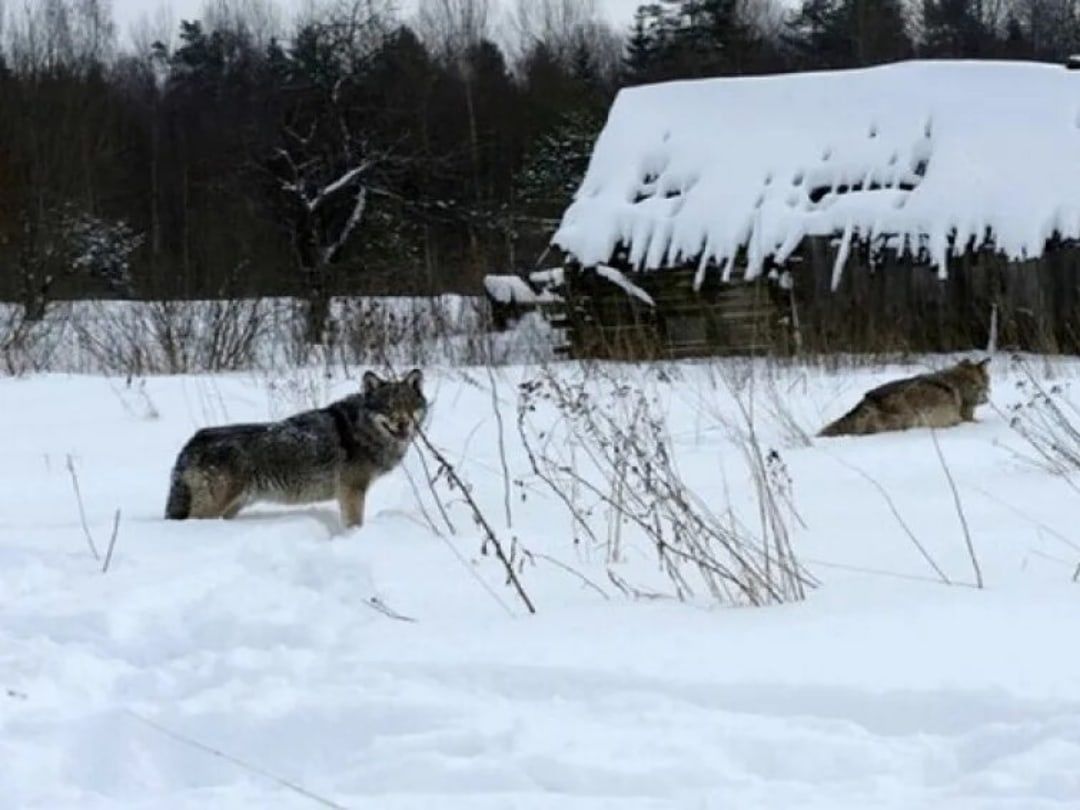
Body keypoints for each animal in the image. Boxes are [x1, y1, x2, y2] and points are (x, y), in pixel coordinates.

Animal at [164, 367, 425, 527]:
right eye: (388, 407)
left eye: (409, 406)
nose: (404, 423)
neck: (360, 429)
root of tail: (193, 441)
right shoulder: (352, 491)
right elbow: (354, 523)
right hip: (214, 508)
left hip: (232, 508)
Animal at [816, 360, 989, 438]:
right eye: (977, 384)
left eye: (986, 381)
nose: (987, 396)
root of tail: (865, 402)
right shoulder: (951, 419)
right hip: (907, 419)